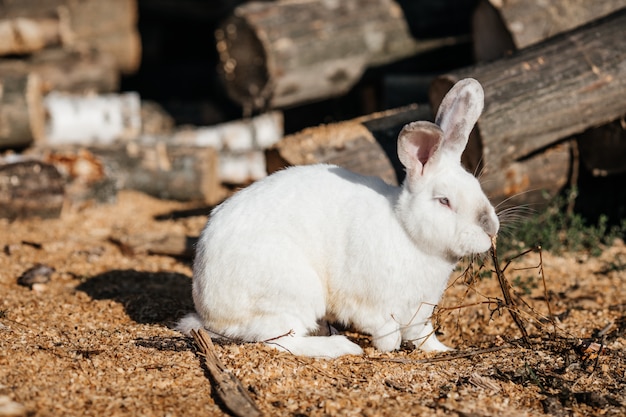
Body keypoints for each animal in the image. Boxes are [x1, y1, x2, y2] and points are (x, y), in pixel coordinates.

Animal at [176, 78, 498, 358]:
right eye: (444, 201)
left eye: (477, 186)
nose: (491, 229)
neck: (407, 232)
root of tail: (208, 311)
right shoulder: (369, 305)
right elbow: (385, 329)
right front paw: (389, 347)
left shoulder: (420, 311)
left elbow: (423, 335)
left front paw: (444, 350)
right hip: (292, 292)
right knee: (281, 340)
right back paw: (341, 346)